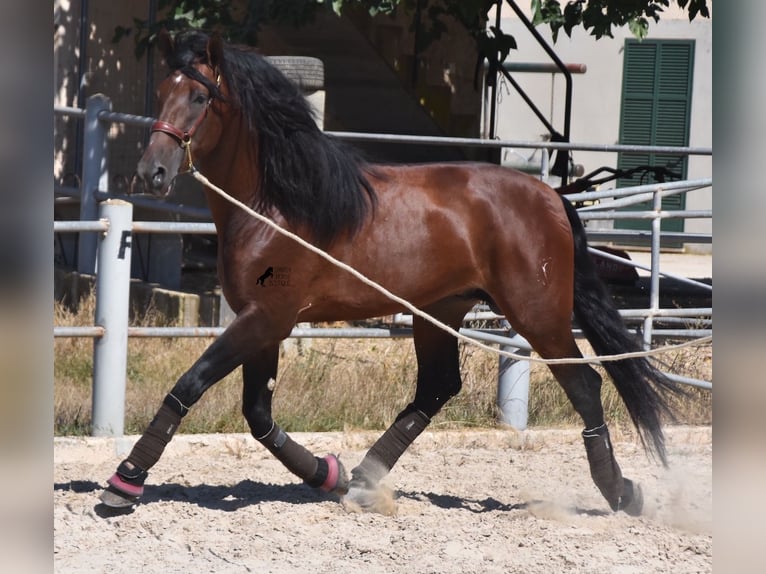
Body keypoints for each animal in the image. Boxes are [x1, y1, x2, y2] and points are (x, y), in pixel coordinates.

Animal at [99, 30, 680, 516]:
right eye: (161, 92)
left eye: (199, 99)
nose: (151, 173)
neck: (276, 206)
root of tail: (551, 197)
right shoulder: (263, 322)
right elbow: (258, 414)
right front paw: (327, 474)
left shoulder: (266, 318)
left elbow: (190, 384)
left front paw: (125, 482)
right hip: (439, 310)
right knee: (438, 388)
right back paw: (361, 479)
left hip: (538, 316)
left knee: (585, 384)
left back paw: (621, 493)